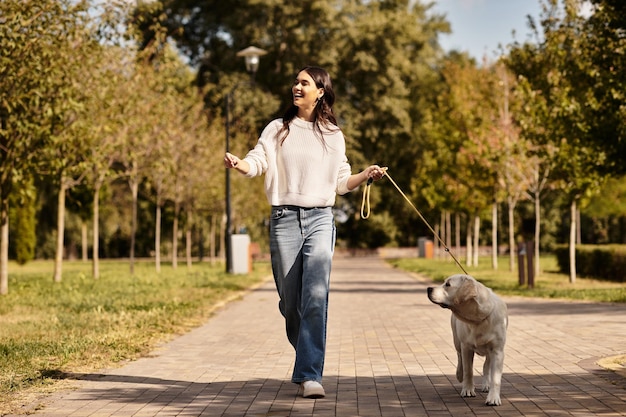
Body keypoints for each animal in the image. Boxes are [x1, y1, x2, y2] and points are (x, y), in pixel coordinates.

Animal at [424, 272, 508, 406]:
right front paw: (468, 390)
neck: (478, 319)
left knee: (486, 365)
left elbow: (495, 377)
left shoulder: (497, 350)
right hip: (457, 341)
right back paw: (459, 374)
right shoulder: (466, 347)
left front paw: (493, 398)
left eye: (448, 284)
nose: (429, 289)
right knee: (460, 358)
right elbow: (468, 371)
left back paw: (486, 385)